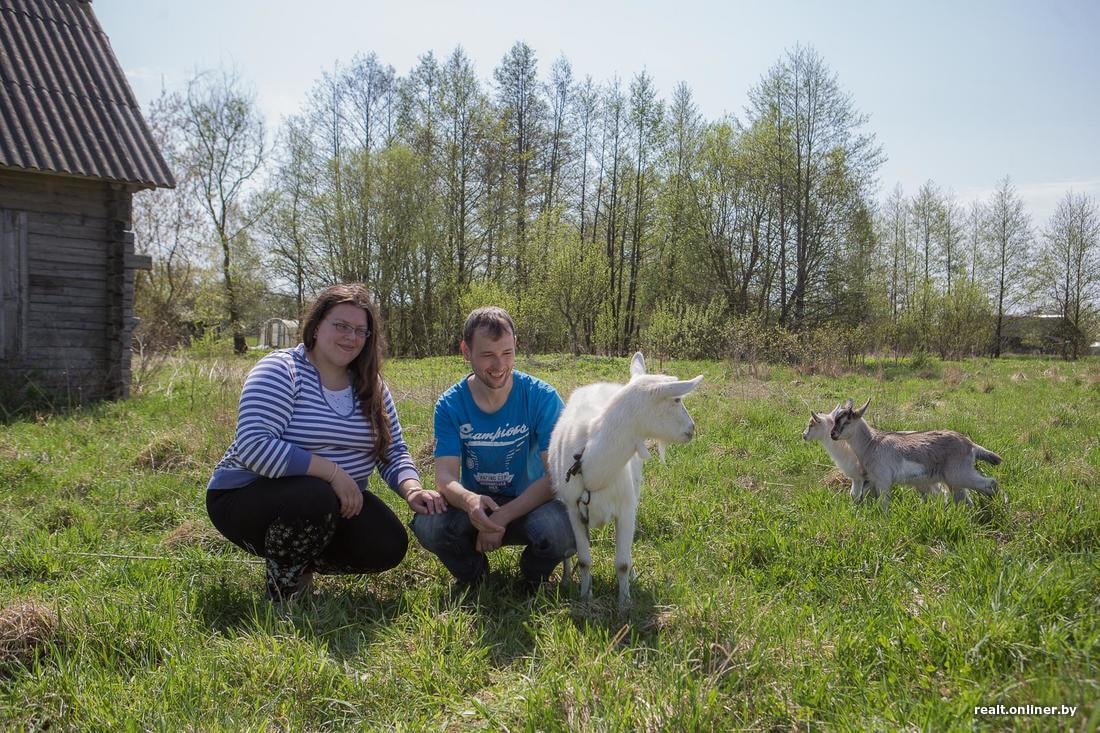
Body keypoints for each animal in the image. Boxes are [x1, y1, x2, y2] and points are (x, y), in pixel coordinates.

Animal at [550, 352, 704, 603]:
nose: (692, 429)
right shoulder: (574, 511)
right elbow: (584, 560)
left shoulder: (626, 510)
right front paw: (585, 596)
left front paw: (625, 602)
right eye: (676, 400)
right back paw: (564, 579)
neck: (592, 468)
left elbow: (622, 562)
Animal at [827, 400, 1003, 508]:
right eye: (835, 420)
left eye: (847, 421)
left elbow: (883, 503)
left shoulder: (883, 478)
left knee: (991, 483)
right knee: (966, 500)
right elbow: (861, 495)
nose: (832, 434)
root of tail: (969, 444)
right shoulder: (871, 479)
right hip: (954, 481)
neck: (871, 443)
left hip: (959, 473)